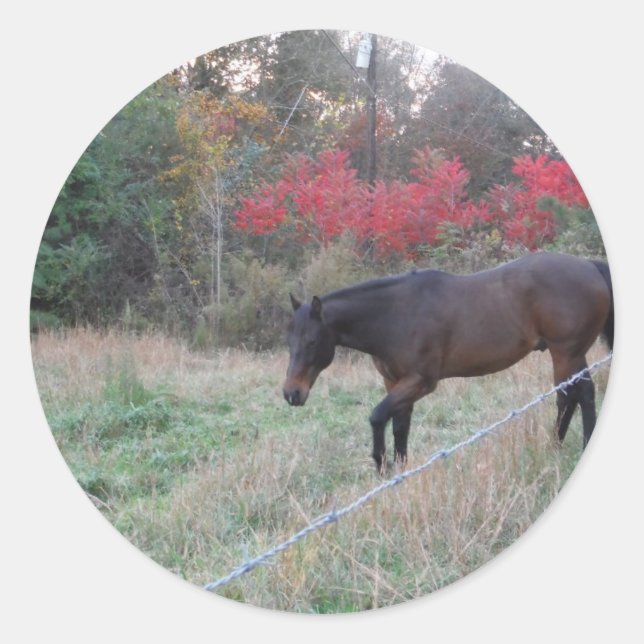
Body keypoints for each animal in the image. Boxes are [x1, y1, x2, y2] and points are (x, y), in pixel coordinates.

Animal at [283, 252, 613, 473]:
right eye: (289, 342)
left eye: (312, 342)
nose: (291, 393)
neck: (396, 315)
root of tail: (589, 266)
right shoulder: (395, 382)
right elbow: (400, 425)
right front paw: (400, 471)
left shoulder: (421, 381)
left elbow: (377, 416)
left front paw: (381, 464)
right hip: (570, 354)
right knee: (572, 395)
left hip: (566, 352)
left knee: (576, 395)